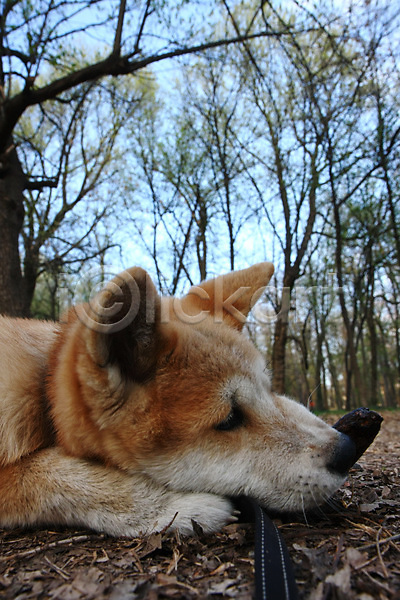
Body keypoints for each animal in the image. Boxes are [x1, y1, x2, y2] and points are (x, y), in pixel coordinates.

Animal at [0, 264, 356, 536]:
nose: (348, 449)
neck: (42, 385)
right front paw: (179, 507)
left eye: (269, 390)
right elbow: (54, 476)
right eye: (228, 419)